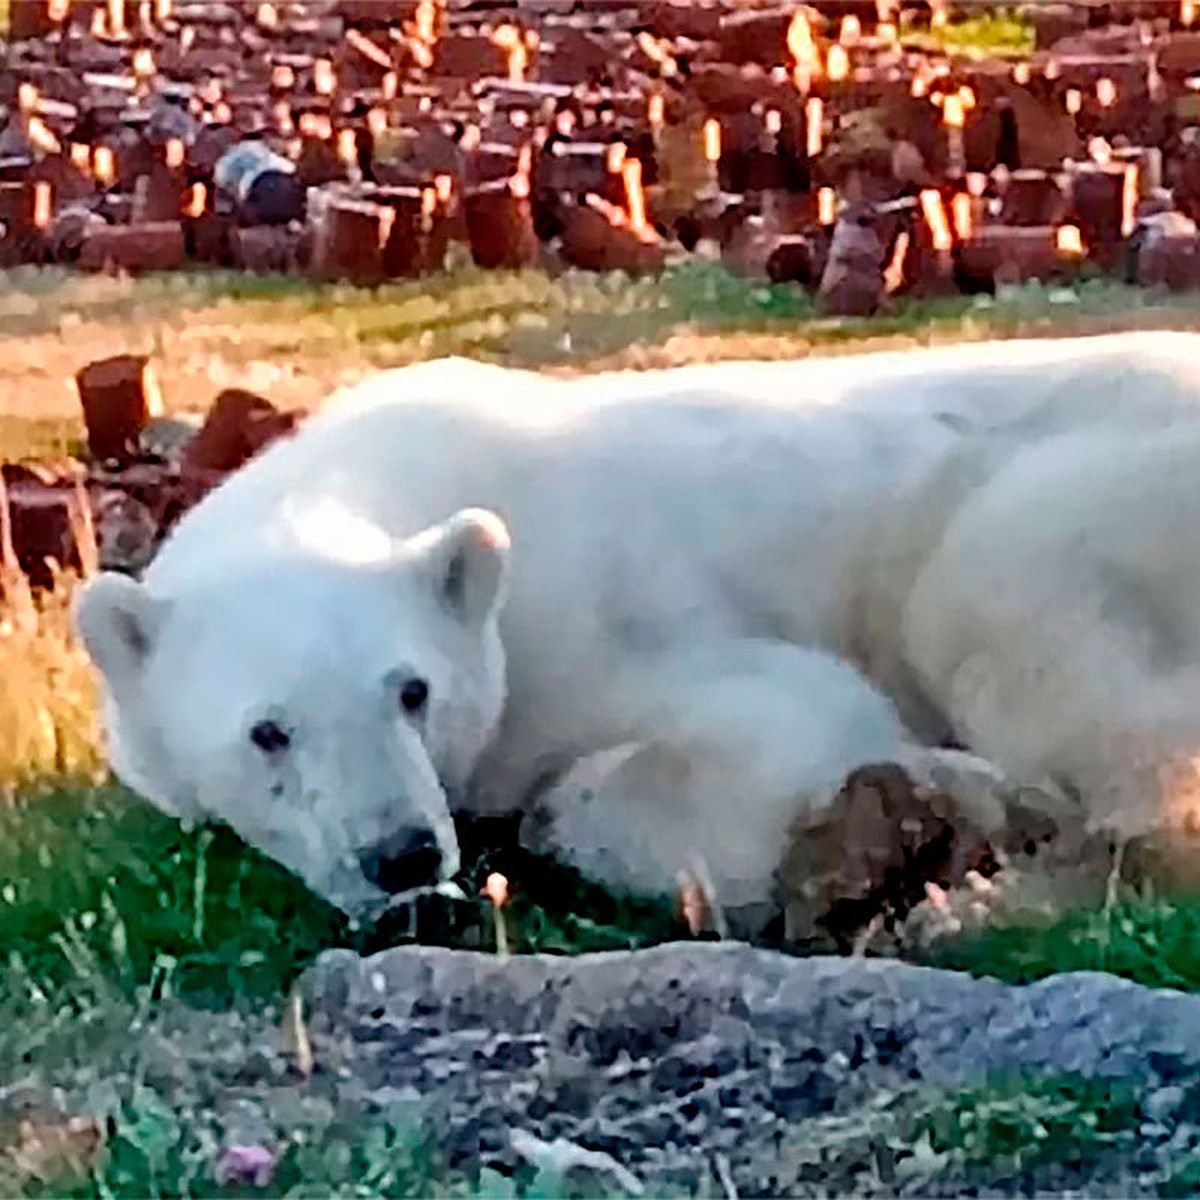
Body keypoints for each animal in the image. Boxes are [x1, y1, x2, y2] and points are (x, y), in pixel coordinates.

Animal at [77, 333, 1200, 921]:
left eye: (413, 690)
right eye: (268, 731)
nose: (400, 855)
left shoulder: (597, 615)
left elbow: (791, 720)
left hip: (1085, 491)